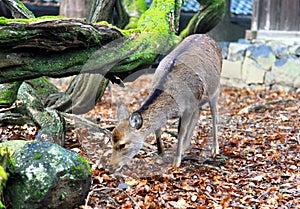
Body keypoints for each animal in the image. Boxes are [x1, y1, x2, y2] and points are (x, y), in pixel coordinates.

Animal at [110, 34, 223, 171]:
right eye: (111, 141)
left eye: (123, 145)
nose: (111, 166)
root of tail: (210, 38)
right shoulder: (190, 105)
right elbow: (158, 128)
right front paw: (161, 153)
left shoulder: (189, 106)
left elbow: (181, 131)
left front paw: (176, 162)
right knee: (198, 114)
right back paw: (186, 147)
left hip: (215, 89)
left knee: (215, 116)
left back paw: (214, 150)